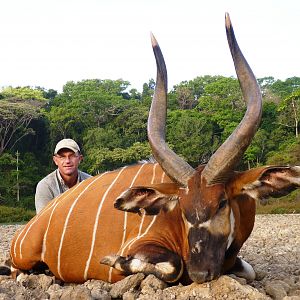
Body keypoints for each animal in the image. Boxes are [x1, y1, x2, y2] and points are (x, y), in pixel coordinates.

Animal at [4, 13, 300, 284]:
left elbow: (249, 270)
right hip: (23, 258)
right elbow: (172, 265)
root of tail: (29, 228)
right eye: (182, 207)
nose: (199, 272)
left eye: (222, 202)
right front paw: (113, 260)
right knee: (16, 270)